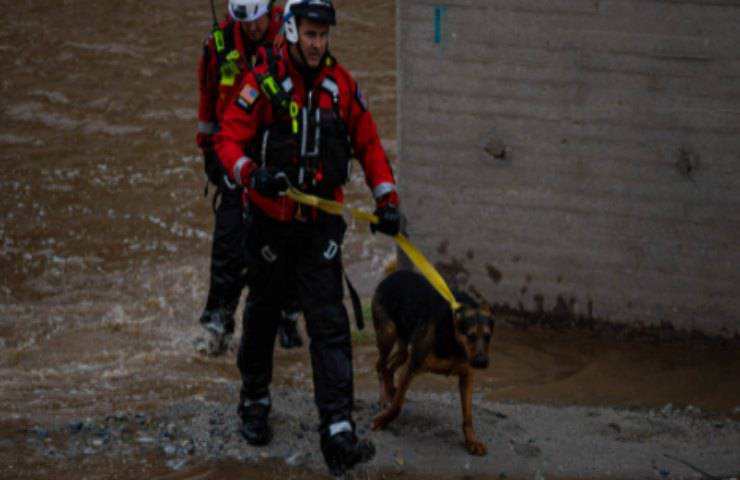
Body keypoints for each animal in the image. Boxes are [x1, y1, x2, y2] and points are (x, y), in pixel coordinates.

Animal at [370, 270, 498, 454]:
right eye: (471, 336)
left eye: (487, 337)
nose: (481, 362)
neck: (454, 340)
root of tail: (392, 275)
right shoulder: (413, 365)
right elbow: (398, 405)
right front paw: (383, 420)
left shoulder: (467, 376)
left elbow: (468, 415)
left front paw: (472, 441)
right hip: (387, 334)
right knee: (380, 365)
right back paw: (384, 397)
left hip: (403, 345)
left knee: (390, 366)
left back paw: (390, 391)